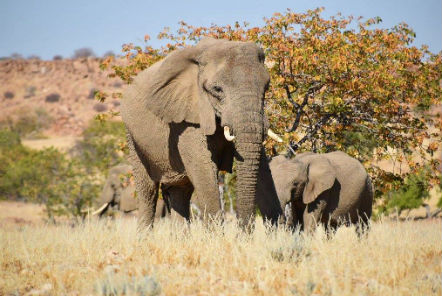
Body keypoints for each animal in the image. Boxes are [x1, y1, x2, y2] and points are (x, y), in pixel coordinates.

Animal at [120, 37, 284, 230]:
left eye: (266, 87)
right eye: (217, 89)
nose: (243, 231)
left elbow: (262, 168)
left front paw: (281, 231)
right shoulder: (187, 119)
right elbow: (204, 167)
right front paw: (218, 235)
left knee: (179, 192)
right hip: (133, 137)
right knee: (148, 192)